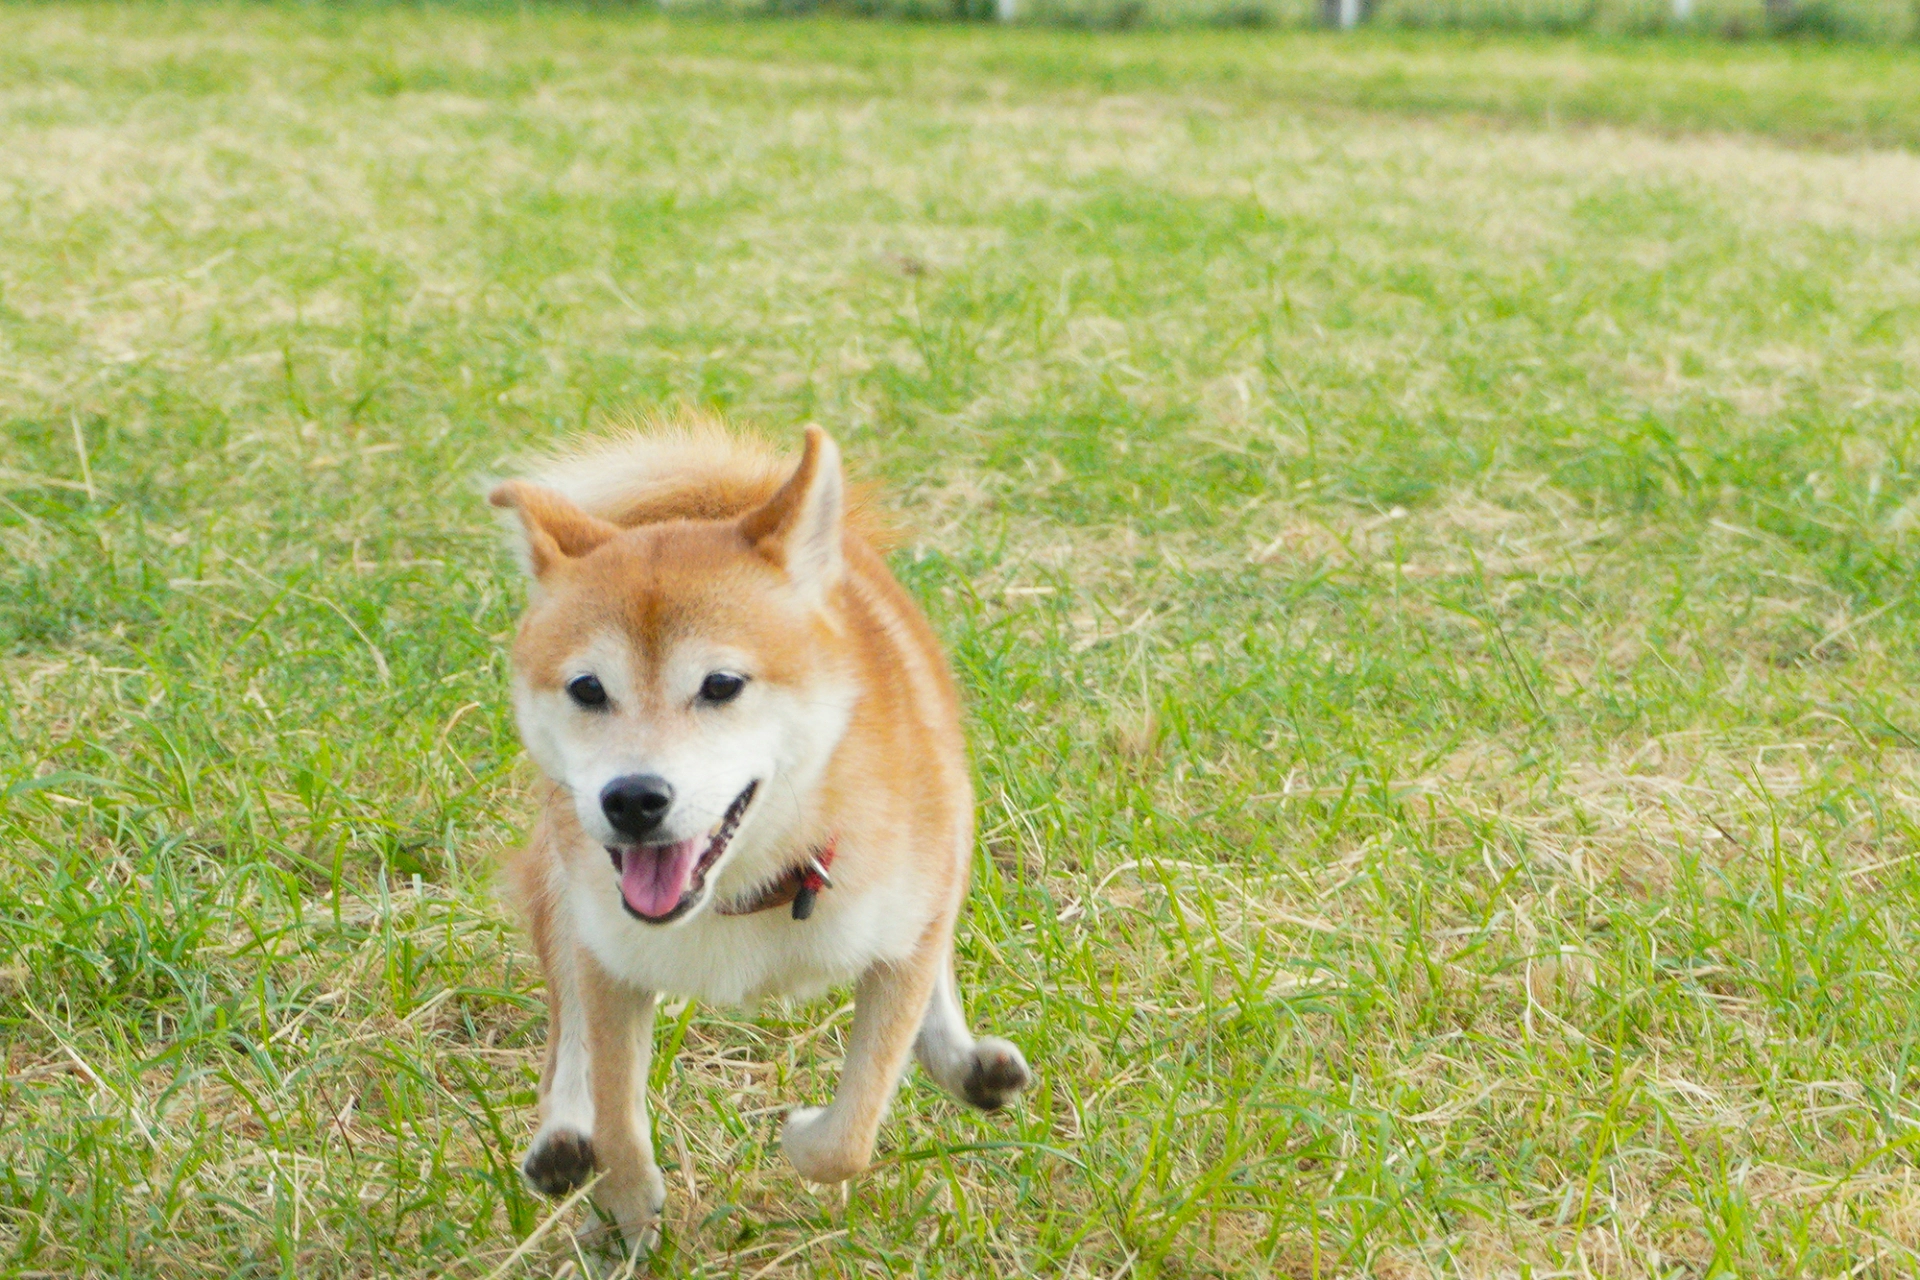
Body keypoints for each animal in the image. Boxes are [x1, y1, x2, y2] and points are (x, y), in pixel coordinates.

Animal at [491, 420, 1036, 1251]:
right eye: (587, 688)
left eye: (721, 685)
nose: (633, 798)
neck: (756, 885)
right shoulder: (609, 956)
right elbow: (617, 1111)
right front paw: (625, 1211)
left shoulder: (906, 931)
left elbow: (849, 1135)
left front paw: (806, 1132)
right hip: (563, 877)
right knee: (566, 1036)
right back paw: (561, 1138)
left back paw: (963, 1061)